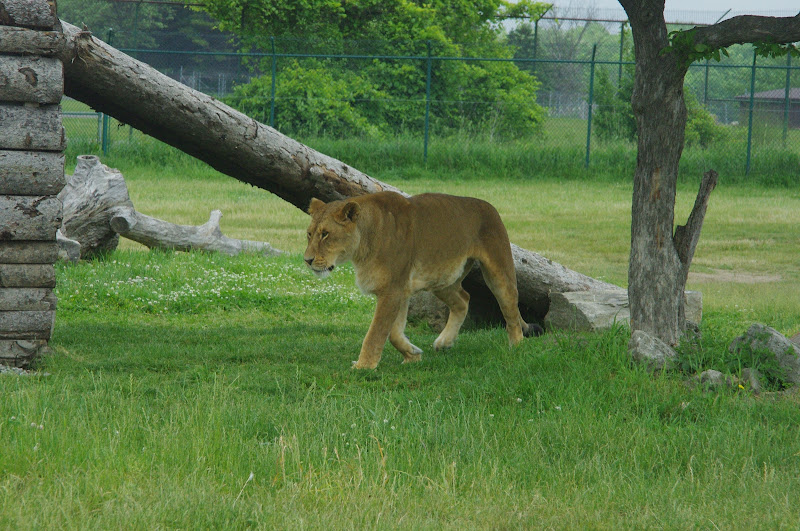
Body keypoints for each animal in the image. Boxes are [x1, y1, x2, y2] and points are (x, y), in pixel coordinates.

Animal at [304, 191, 541, 369]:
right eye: (309, 234)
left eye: (325, 234)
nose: (307, 260)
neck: (363, 245)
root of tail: (489, 206)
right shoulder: (400, 290)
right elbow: (394, 333)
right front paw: (412, 355)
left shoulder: (392, 290)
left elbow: (376, 333)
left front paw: (364, 366)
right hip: (443, 279)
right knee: (464, 299)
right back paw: (445, 342)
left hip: (498, 271)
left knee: (511, 309)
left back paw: (516, 347)